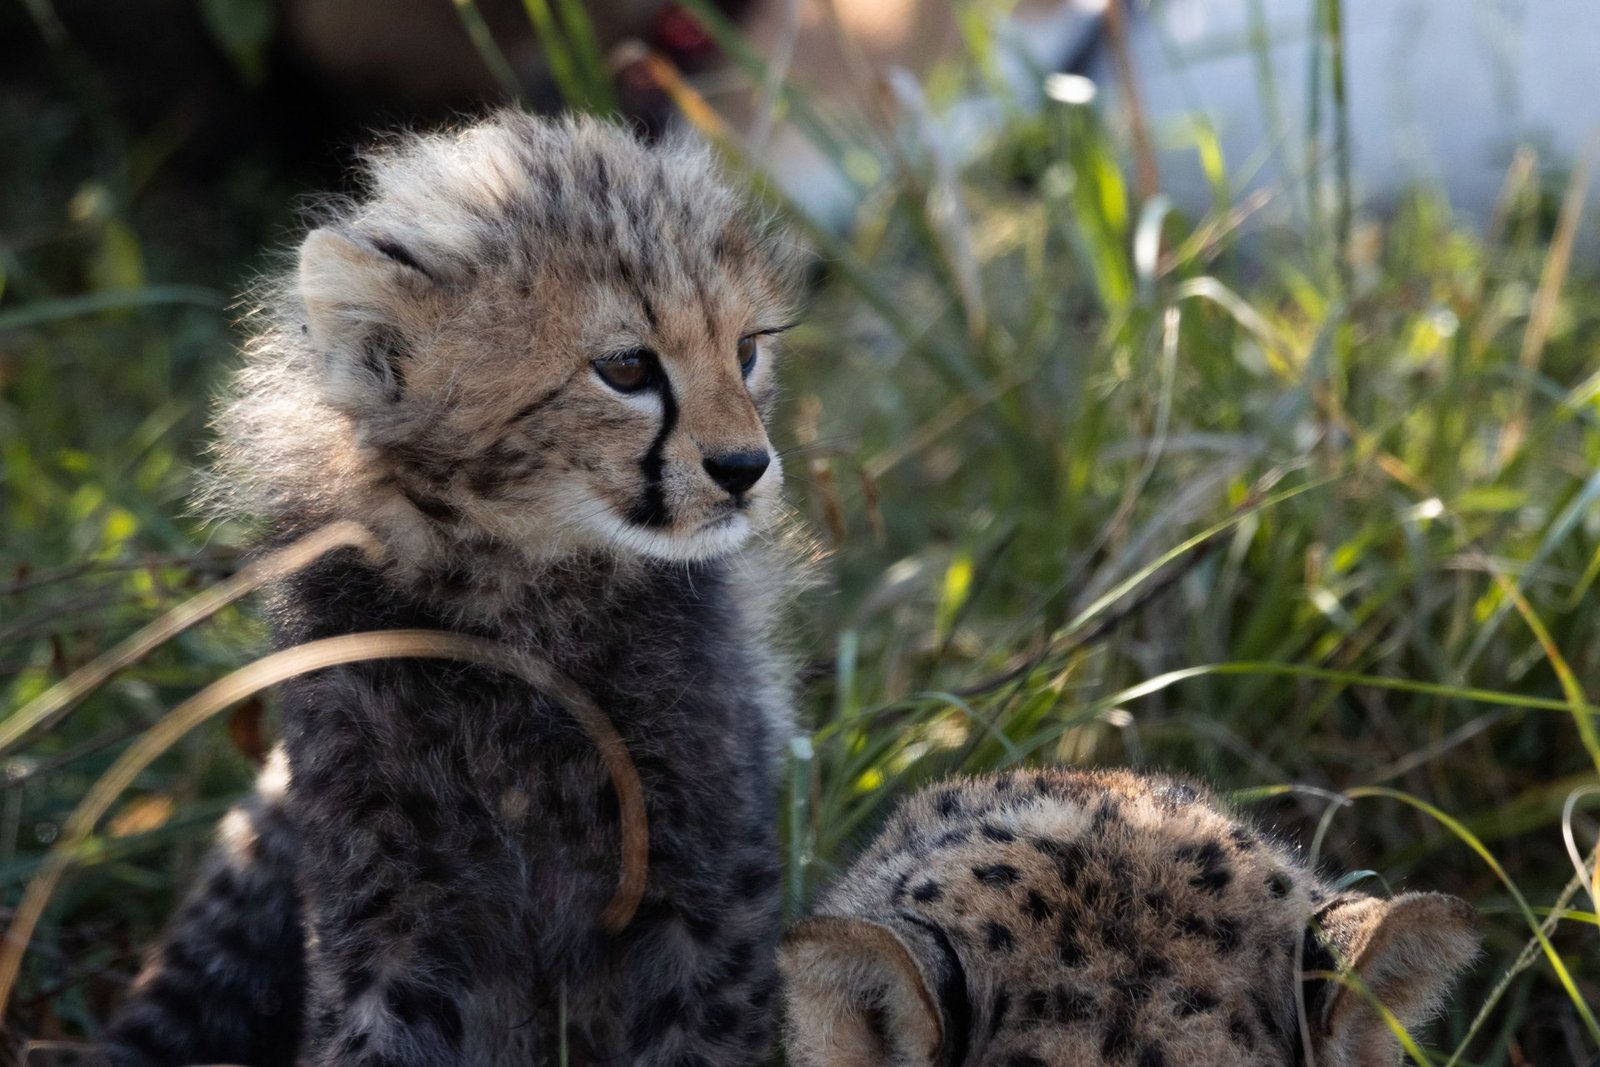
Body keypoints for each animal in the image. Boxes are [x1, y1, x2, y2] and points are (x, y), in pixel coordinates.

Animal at [101, 110, 806, 1067]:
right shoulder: (388, 896)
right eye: (626, 367)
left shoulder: (703, 876)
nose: (745, 467)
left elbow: (705, 1023)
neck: (515, 594)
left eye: (745, 351)